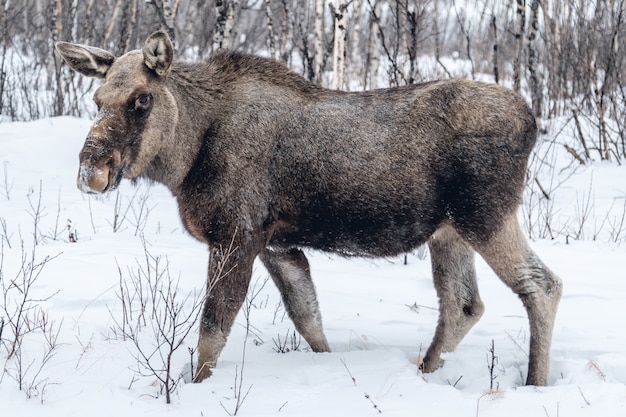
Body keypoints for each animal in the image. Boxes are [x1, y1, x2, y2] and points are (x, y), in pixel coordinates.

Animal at [54, 30, 560, 386]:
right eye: (97, 99)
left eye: (142, 99)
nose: (91, 170)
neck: (185, 156)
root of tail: (533, 122)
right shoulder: (277, 245)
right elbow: (308, 318)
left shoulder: (235, 236)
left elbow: (213, 329)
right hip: (449, 232)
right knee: (463, 304)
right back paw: (426, 371)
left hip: (486, 215)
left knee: (542, 285)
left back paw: (535, 383)